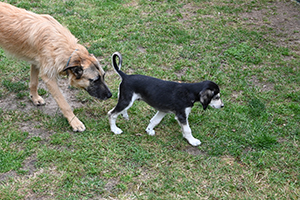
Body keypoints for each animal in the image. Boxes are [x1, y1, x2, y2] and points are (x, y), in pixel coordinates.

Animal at [0, 2, 112, 132]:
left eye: (103, 76)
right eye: (95, 80)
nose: (110, 95)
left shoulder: (36, 64)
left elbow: (34, 83)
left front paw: (35, 98)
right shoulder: (49, 78)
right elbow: (64, 103)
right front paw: (75, 122)